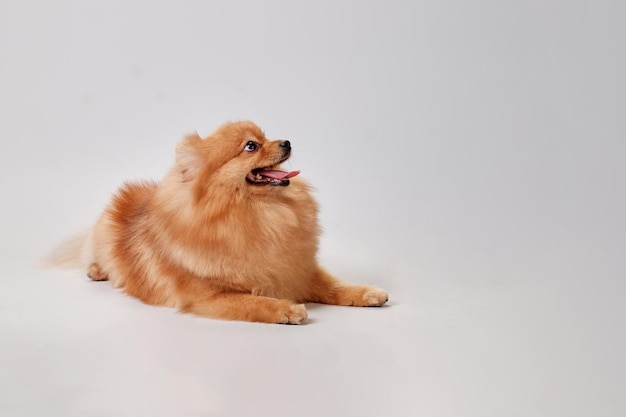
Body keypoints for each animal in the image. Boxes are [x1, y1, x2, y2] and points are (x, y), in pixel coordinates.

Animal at [47, 120, 386, 322]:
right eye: (251, 145)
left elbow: (336, 286)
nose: (287, 141)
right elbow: (253, 303)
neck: (260, 212)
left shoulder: (297, 270)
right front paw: (286, 308)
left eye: (266, 136)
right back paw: (97, 271)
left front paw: (367, 293)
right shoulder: (208, 296)